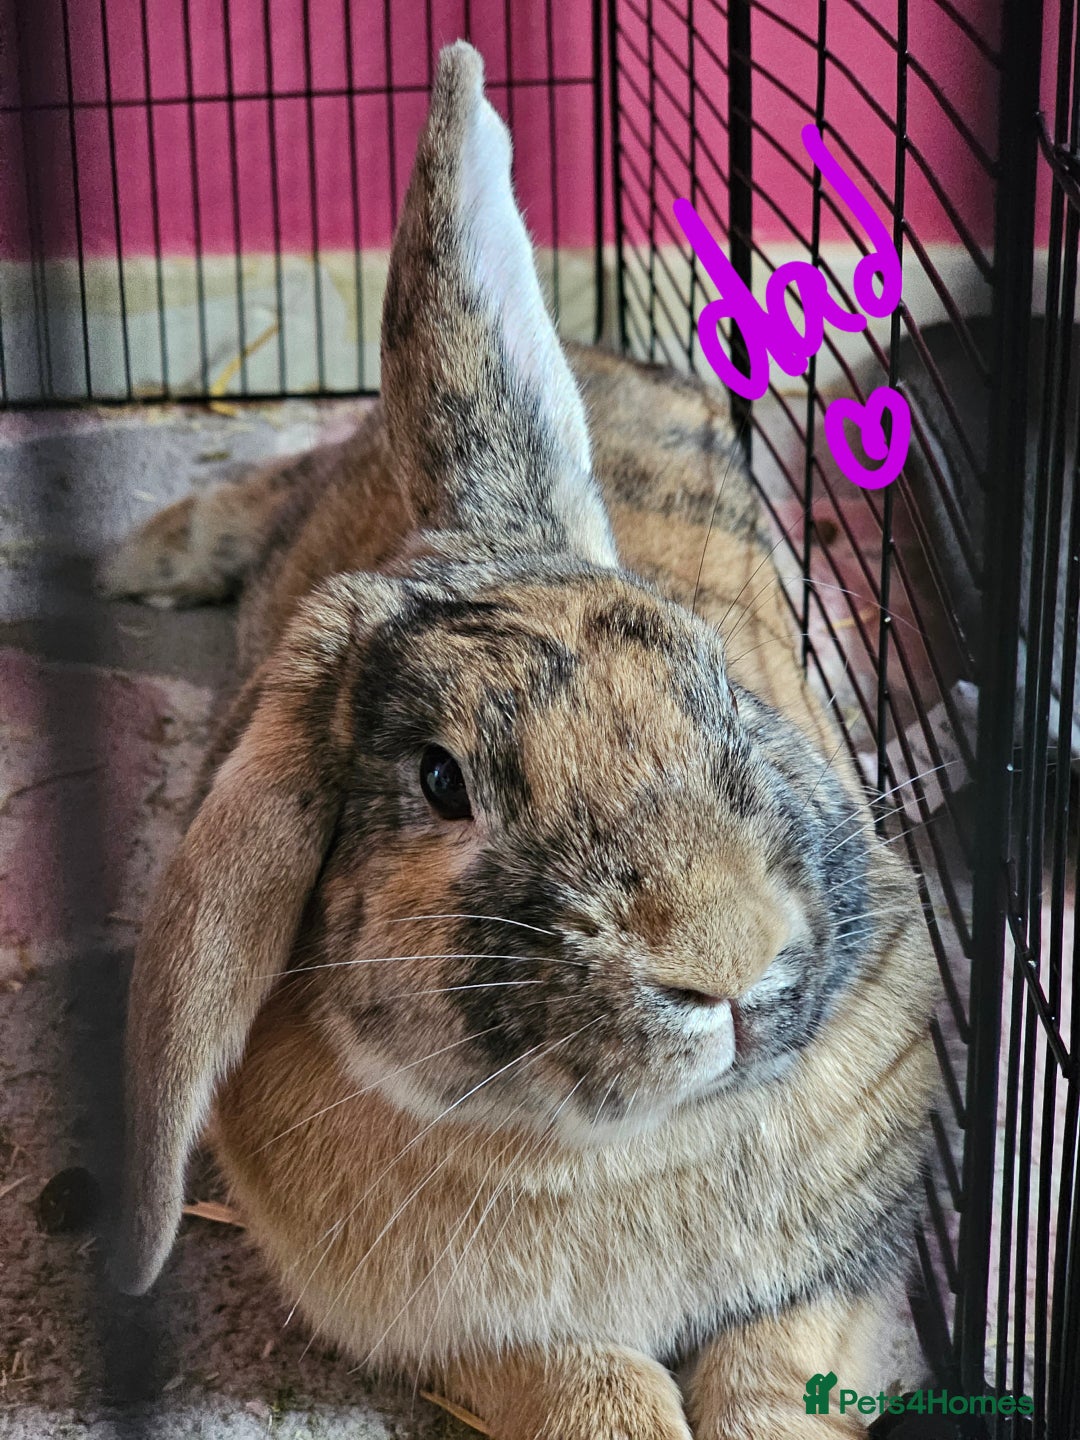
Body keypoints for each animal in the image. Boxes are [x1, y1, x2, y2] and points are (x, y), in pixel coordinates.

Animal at [104, 42, 939, 1440]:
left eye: (715, 679)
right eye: (442, 783)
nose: (725, 960)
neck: (636, 1143)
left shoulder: (843, 1280)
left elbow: (775, 1382)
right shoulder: (483, 1342)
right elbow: (603, 1391)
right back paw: (139, 558)